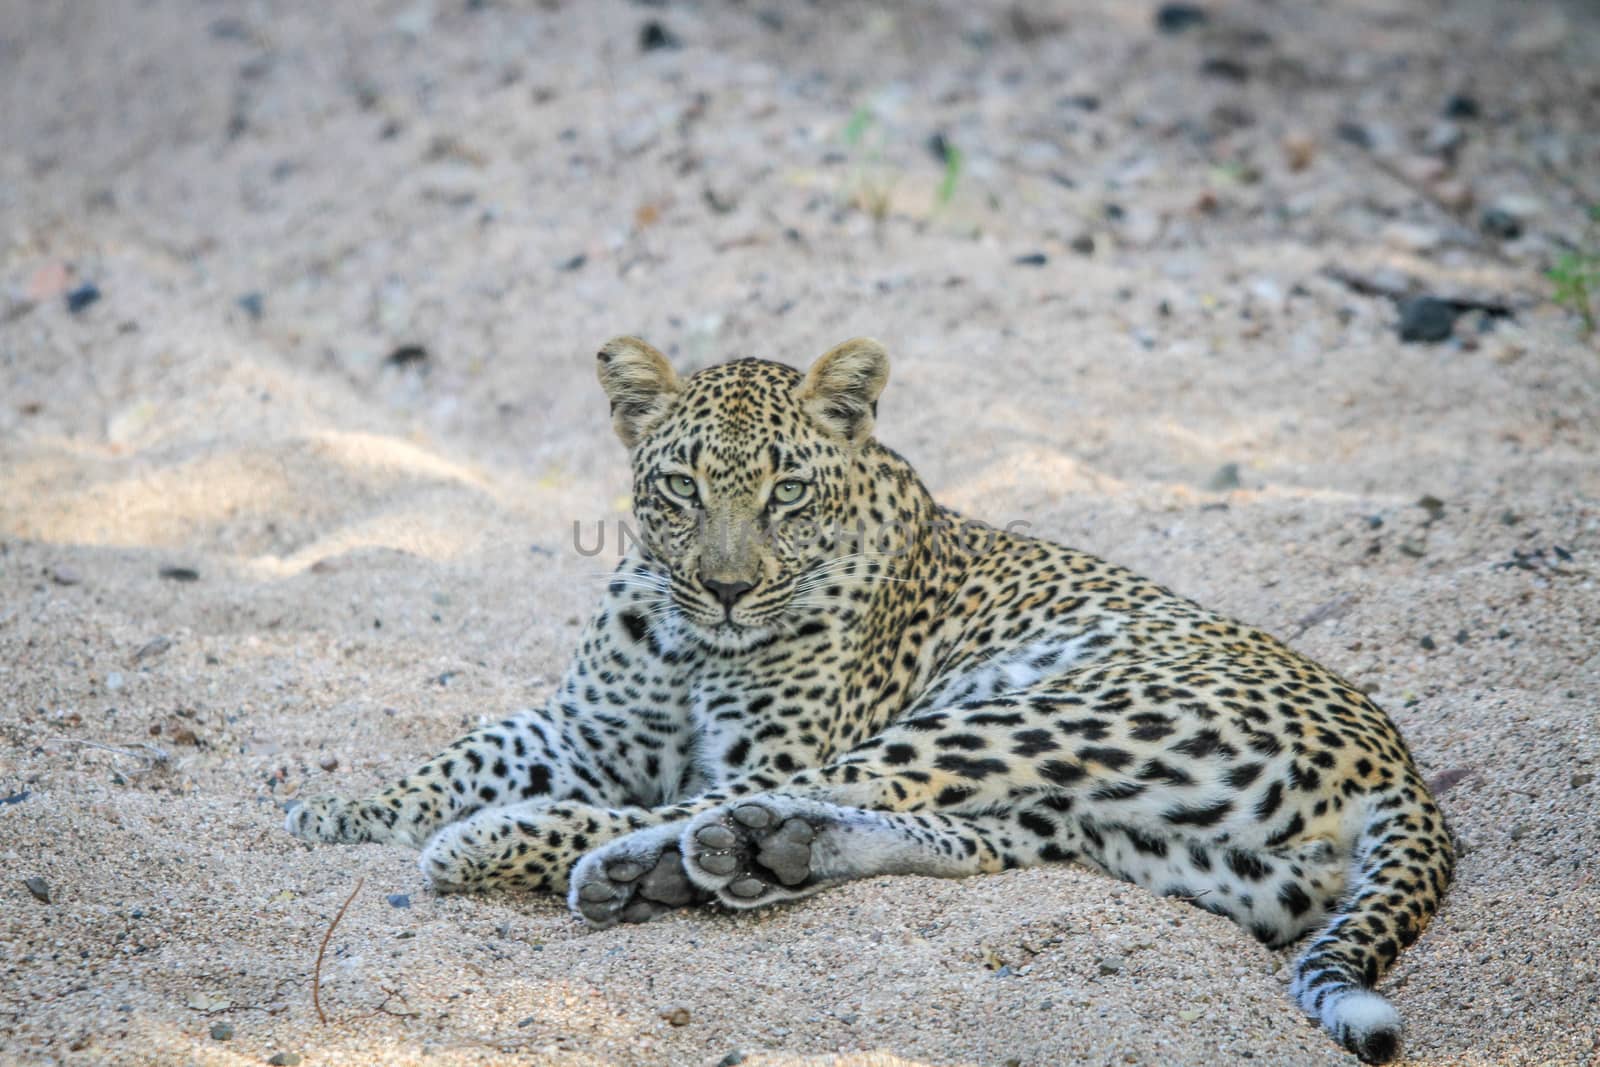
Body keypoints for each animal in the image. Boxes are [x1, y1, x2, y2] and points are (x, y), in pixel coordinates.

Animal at [284, 337, 1452, 1062]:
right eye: (681, 488)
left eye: (785, 492)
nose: (727, 585)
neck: (688, 639)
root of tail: (1402, 766)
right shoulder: (587, 727)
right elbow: (467, 747)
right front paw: (339, 808)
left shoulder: (747, 748)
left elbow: (613, 785)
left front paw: (457, 830)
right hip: (1154, 841)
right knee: (961, 843)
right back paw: (755, 857)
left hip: (1032, 714)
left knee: (726, 805)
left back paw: (590, 858)